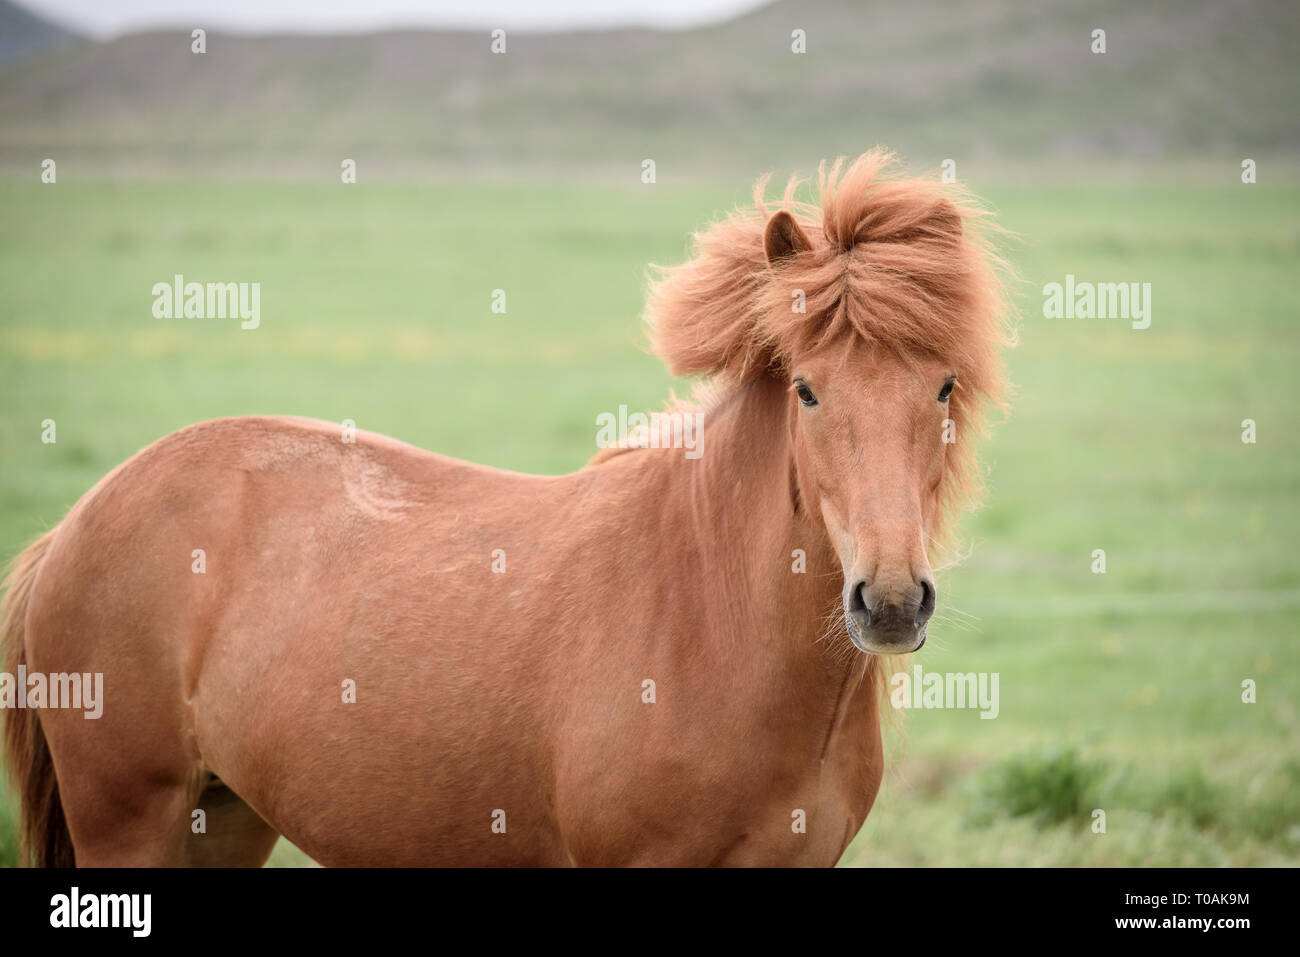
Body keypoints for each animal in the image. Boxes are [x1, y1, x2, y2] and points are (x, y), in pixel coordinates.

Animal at [1, 149, 1010, 867]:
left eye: (944, 386)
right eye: (806, 390)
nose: (889, 601)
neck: (707, 615)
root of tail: (72, 526)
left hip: (228, 816)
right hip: (132, 818)